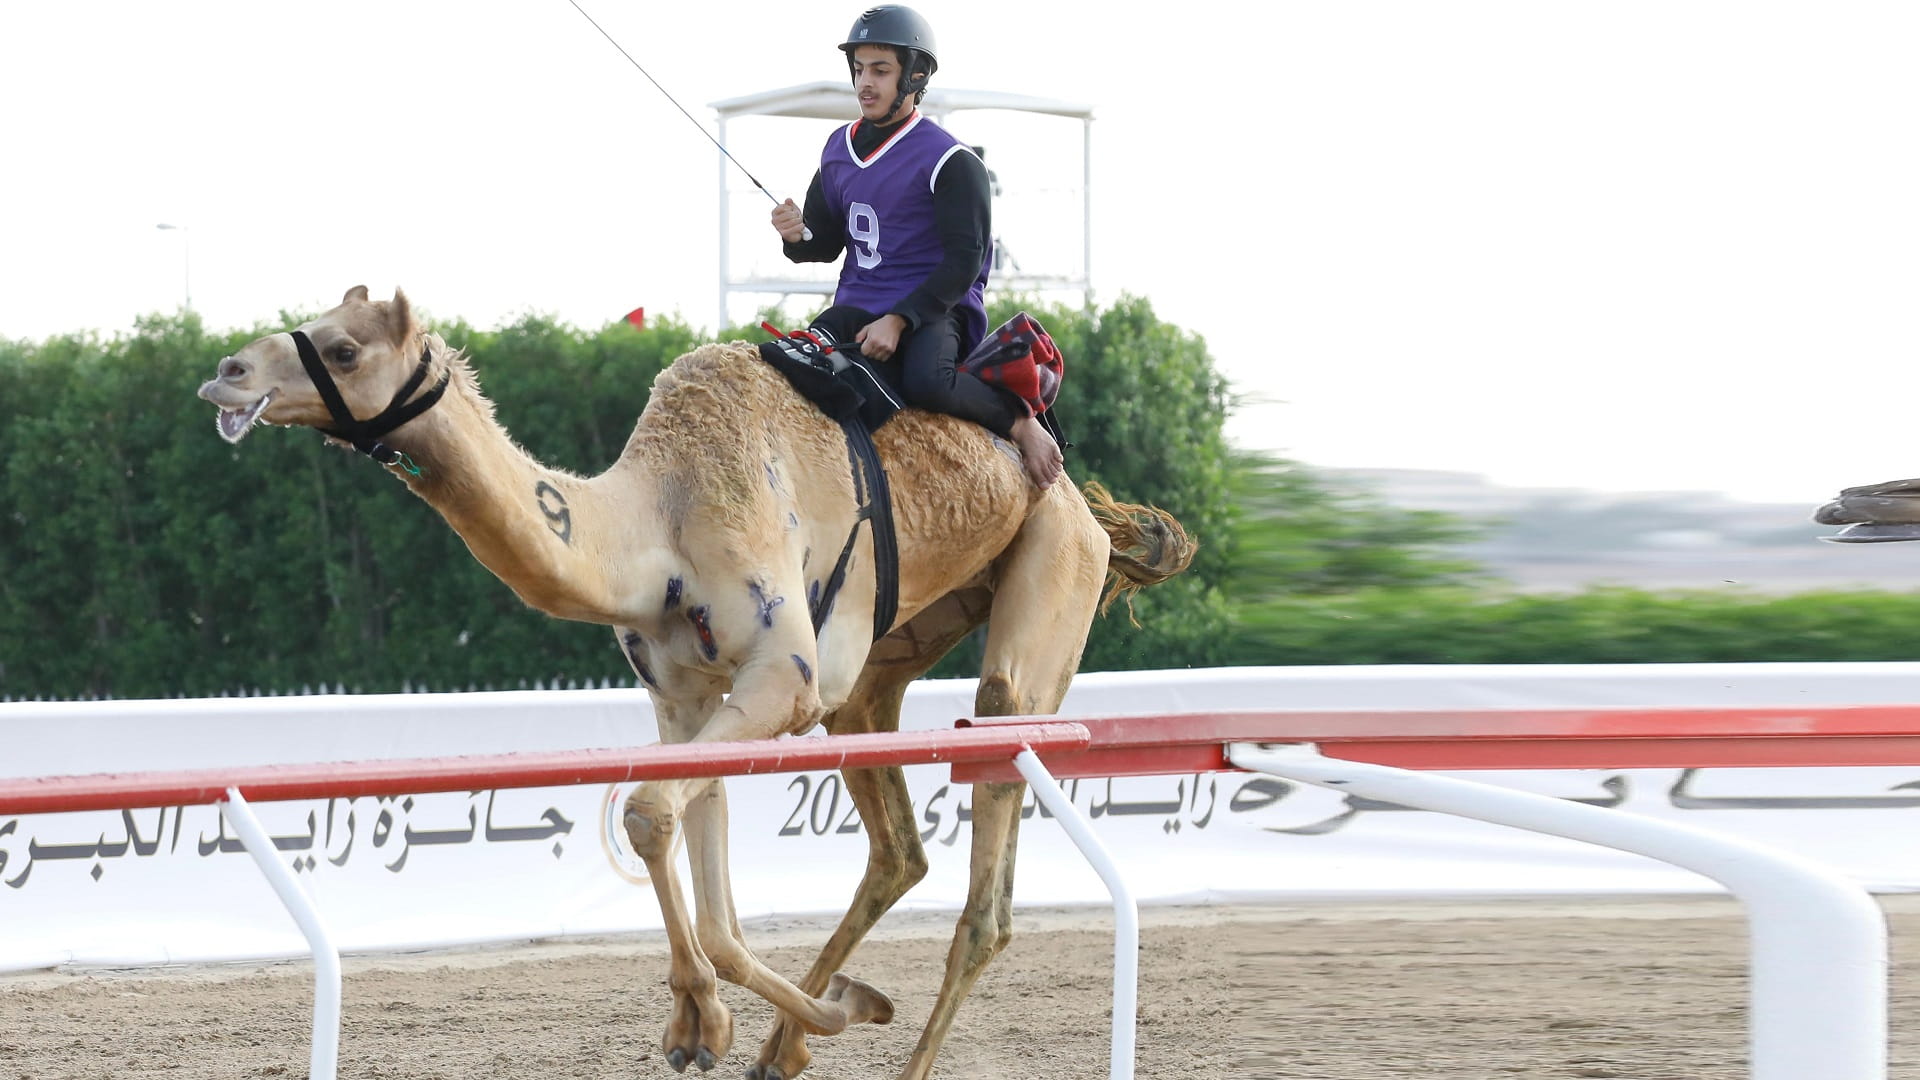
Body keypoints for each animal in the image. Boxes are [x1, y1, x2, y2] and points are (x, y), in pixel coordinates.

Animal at [194, 286, 1182, 1076]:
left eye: (345, 348)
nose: (226, 374)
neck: (657, 521)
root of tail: (1087, 505)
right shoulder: (686, 696)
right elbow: (674, 845)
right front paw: (713, 1022)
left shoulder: (782, 676)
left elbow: (656, 822)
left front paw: (785, 1012)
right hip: (882, 664)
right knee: (899, 846)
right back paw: (787, 1046)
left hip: (1048, 584)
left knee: (991, 852)